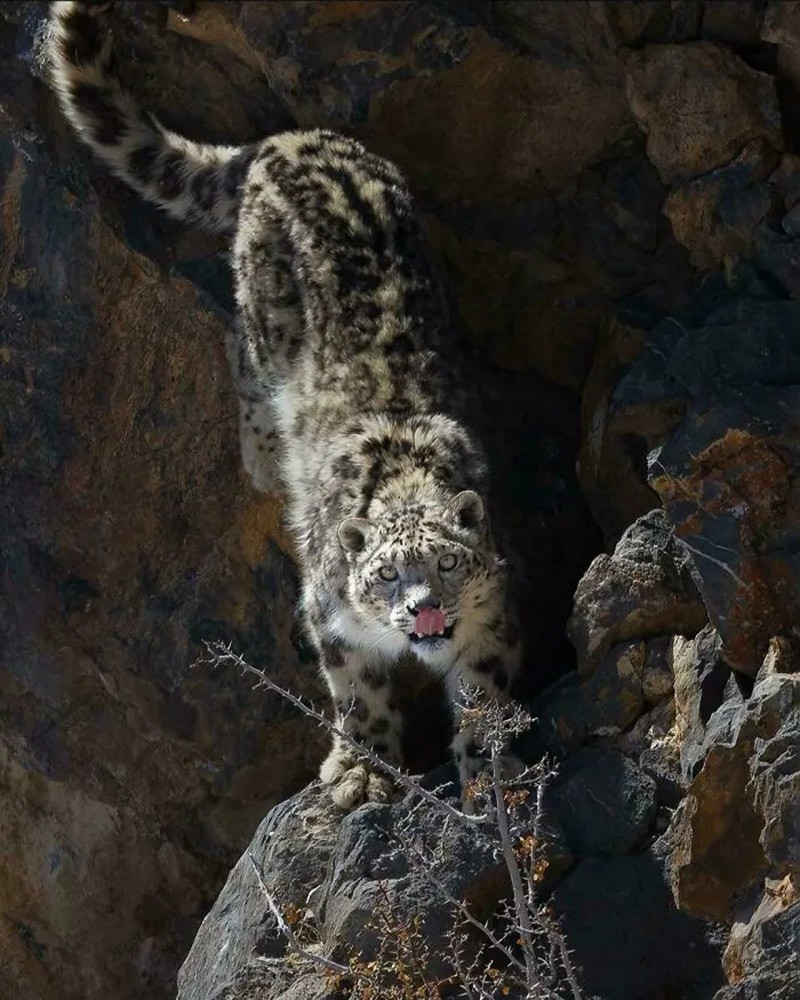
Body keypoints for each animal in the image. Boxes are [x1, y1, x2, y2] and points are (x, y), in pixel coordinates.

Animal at [48, 0, 523, 811]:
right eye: (386, 575)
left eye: (448, 563)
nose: (423, 609)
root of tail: (288, 140)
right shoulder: (328, 614)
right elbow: (357, 691)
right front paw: (362, 770)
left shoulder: (489, 617)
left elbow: (484, 695)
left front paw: (491, 778)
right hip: (264, 317)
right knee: (239, 346)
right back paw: (265, 453)